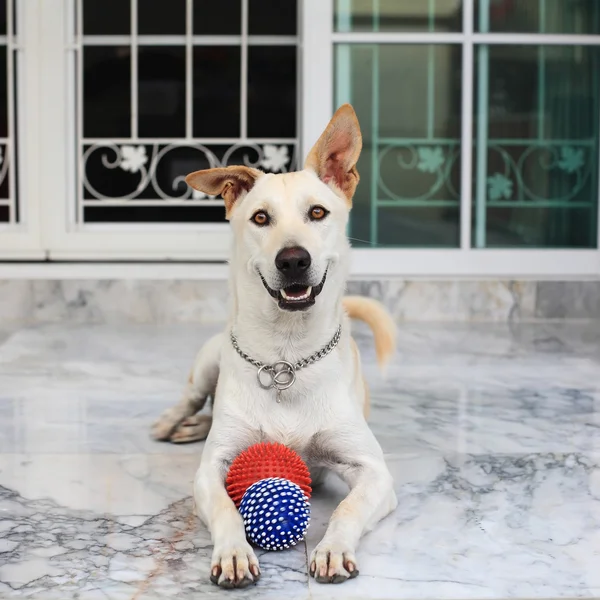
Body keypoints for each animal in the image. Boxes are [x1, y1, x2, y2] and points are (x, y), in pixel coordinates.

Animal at [152, 105, 398, 588]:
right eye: (261, 218)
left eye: (318, 212)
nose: (294, 260)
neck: (288, 357)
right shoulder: (211, 470)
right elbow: (226, 508)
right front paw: (233, 553)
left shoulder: (374, 471)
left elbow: (348, 507)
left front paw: (333, 549)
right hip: (209, 359)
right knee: (194, 397)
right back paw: (175, 422)